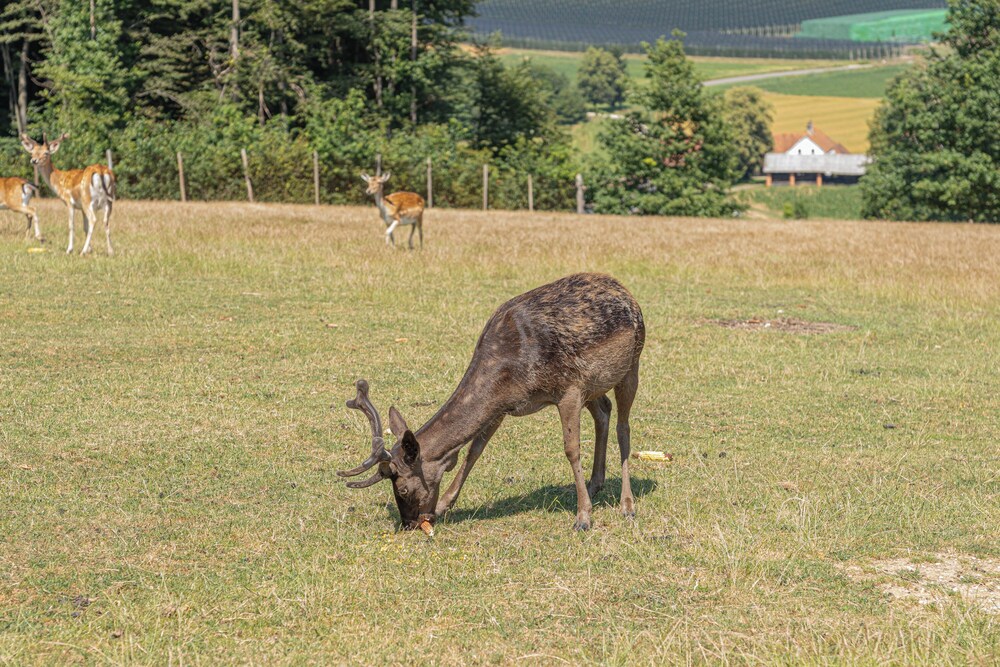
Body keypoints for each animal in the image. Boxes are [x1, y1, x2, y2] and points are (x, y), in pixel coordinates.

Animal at [337, 273, 645, 534]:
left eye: (401, 488)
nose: (409, 523)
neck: (511, 372)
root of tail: (625, 290)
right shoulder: (503, 406)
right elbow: (474, 451)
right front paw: (443, 505)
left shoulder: (568, 390)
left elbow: (571, 450)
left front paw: (583, 517)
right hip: (595, 385)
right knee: (604, 410)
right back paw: (595, 483)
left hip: (632, 362)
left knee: (623, 427)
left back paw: (627, 505)